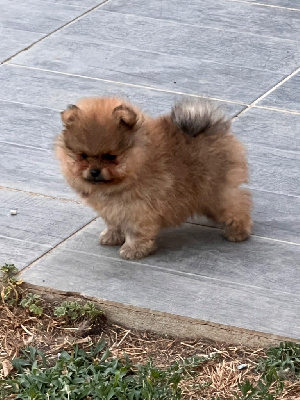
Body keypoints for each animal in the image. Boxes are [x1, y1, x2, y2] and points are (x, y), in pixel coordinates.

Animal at [55, 97, 252, 260]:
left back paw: (238, 231)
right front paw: (112, 236)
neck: (137, 162)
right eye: (83, 156)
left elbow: (136, 232)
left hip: (215, 192)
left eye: (111, 157)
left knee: (237, 204)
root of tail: (209, 127)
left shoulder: (138, 210)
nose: (95, 171)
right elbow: (114, 224)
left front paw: (134, 250)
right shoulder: (114, 210)